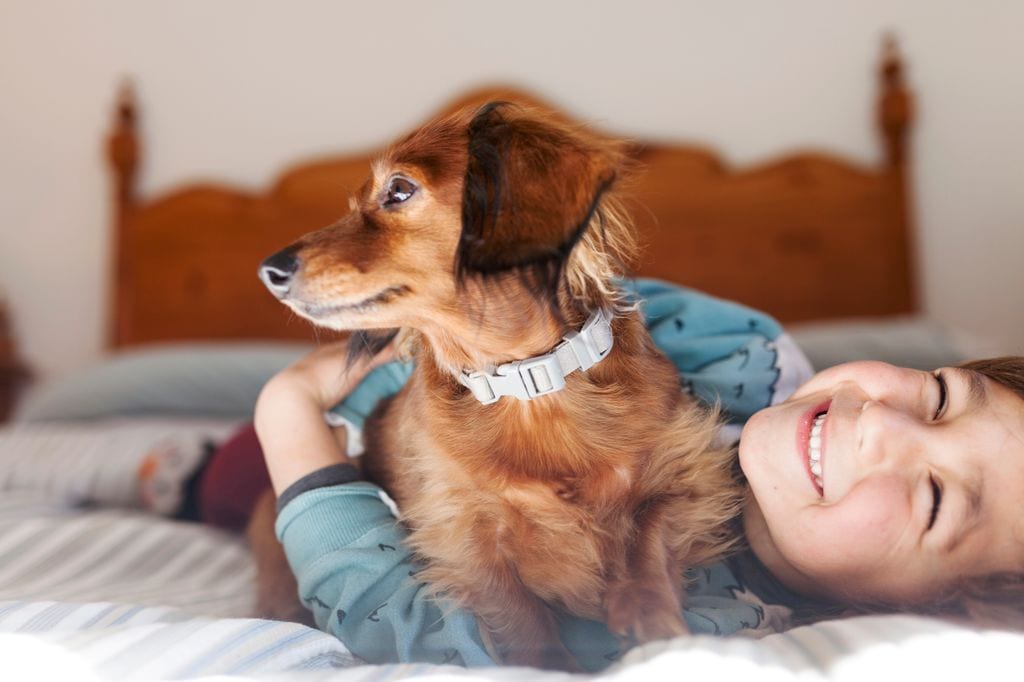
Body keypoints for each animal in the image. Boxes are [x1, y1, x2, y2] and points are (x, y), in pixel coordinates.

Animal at [253, 100, 745, 663]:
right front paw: (549, 666)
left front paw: (649, 612)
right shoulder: (464, 535)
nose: (270, 270)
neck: (530, 387)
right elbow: (521, 619)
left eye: (398, 189)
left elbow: (650, 527)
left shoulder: (692, 471)